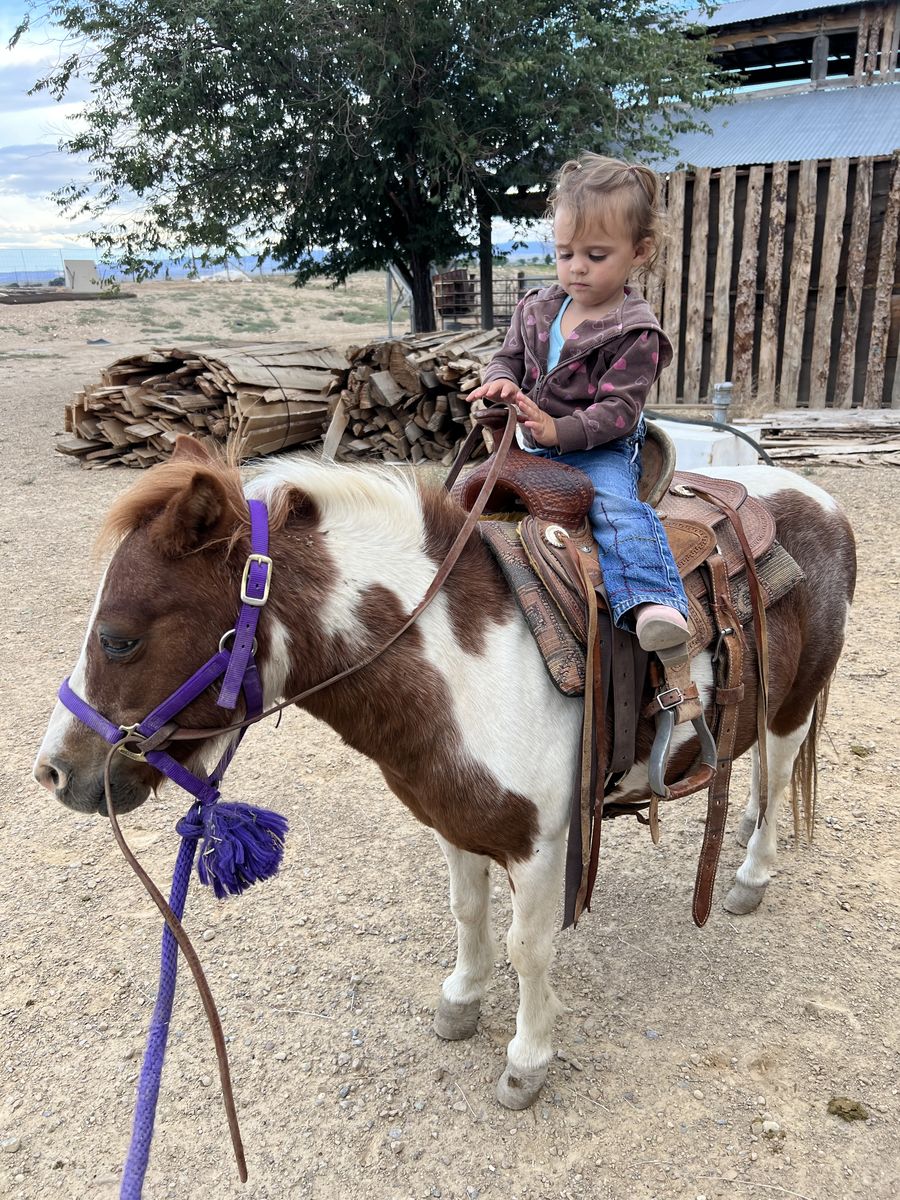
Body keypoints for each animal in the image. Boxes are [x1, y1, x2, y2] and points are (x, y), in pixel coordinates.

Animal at [33, 435, 856, 1111]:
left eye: (119, 637)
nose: (55, 772)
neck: (468, 665)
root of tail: (818, 500)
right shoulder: (455, 817)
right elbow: (465, 913)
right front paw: (461, 999)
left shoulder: (541, 844)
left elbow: (529, 948)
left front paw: (527, 1059)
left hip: (792, 711)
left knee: (775, 779)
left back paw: (750, 875)